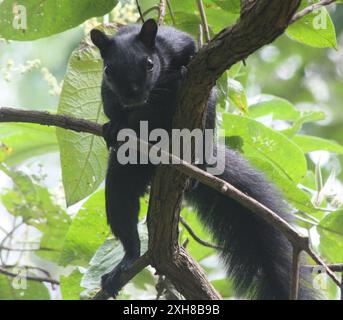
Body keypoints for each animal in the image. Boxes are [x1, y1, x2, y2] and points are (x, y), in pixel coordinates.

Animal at [90, 20, 318, 300]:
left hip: (202, 121)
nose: (133, 95)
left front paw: (180, 73)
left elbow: (194, 58)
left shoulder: (178, 43)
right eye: (108, 70)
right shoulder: (108, 93)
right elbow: (112, 109)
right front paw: (116, 125)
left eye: (149, 64)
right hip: (124, 174)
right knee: (122, 206)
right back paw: (126, 261)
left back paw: (194, 167)